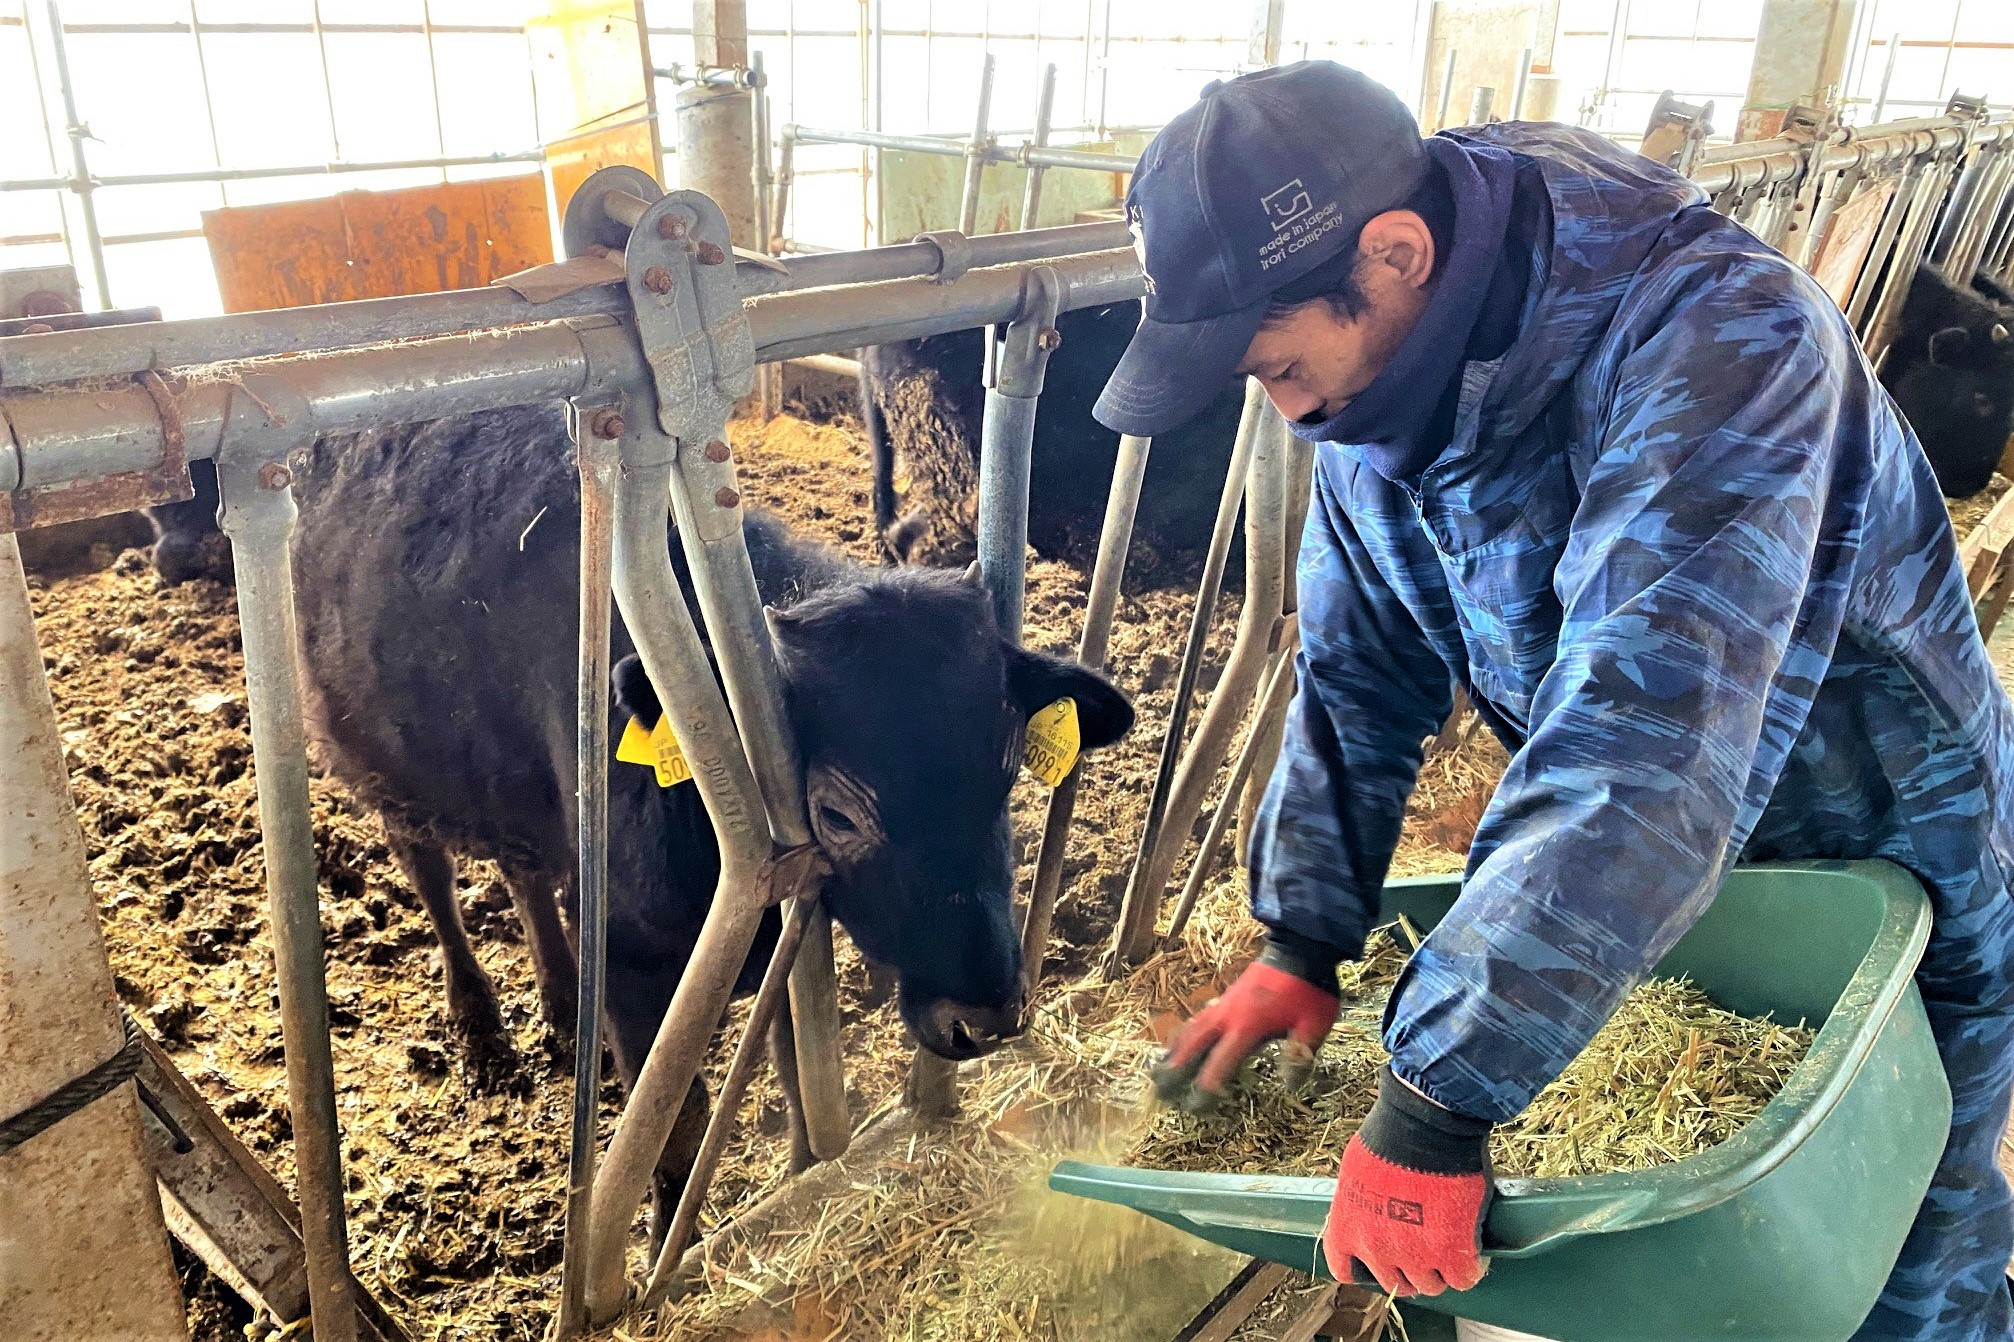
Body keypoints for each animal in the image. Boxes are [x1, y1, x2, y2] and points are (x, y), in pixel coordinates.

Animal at [283, 405, 1135, 1225]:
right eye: (836, 815)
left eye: (1007, 768)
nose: (985, 1016)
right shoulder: (633, 964)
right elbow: (677, 1129)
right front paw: (672, 1234)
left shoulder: (787, 947)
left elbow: (797, 1077)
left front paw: (801, 1178)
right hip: (376, 762)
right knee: (430, 876)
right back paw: (480, 1029)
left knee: (525, 872)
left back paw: (561, 1002)